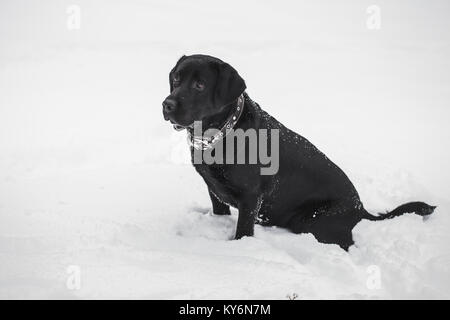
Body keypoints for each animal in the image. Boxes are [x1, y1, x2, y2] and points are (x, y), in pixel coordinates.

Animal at [163, 54, 436, 250]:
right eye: (176, 79)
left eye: (200, 85)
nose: (167, 104)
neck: (223, 134)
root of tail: (360, 209)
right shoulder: (214, 189)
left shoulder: (251, 197)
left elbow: (243, 231)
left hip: (310, 220)